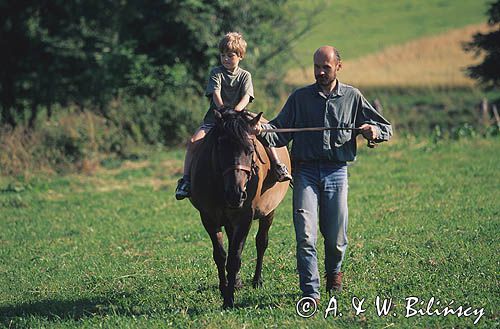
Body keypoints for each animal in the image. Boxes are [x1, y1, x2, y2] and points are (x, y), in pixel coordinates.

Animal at [188, 108, 290, 308]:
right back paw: (236, 282)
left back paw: (257, 280)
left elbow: (235, 258)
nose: (236, 194)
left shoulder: (244, 218)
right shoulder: (208, 218)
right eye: (221, 149)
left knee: (261, 242)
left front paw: (229, 300)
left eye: (250, 151)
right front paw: (225, 287)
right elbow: (220, 255)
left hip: (269, 212)